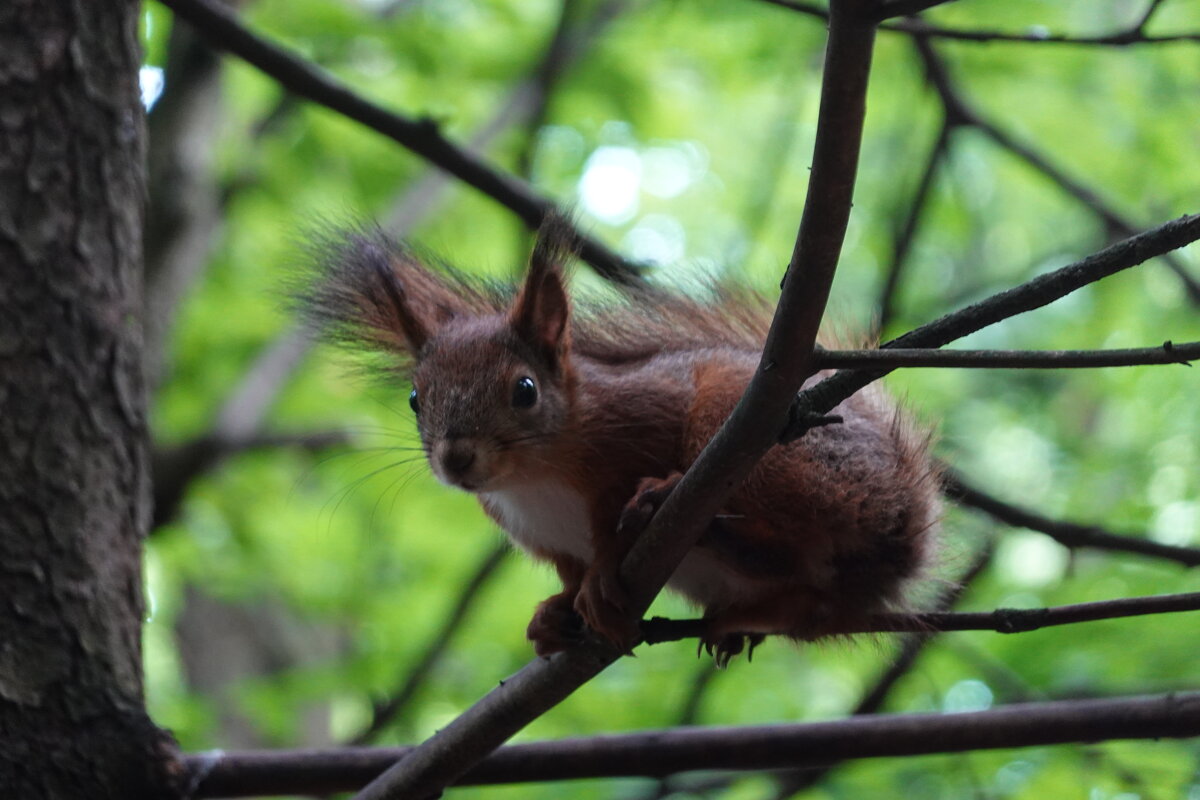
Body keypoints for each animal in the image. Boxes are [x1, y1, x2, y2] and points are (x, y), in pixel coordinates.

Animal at [304, 217, 940, 662]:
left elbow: (609, 525)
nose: (457, 459)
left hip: (764, 445)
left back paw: (672, 506)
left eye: (525, 390)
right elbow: (567, 572)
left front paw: (603, 576)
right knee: (809, 601)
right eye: (416, 398)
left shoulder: (644, 416)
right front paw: (555, 613)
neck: (533, 478)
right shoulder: (541, 536)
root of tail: (904, 537)